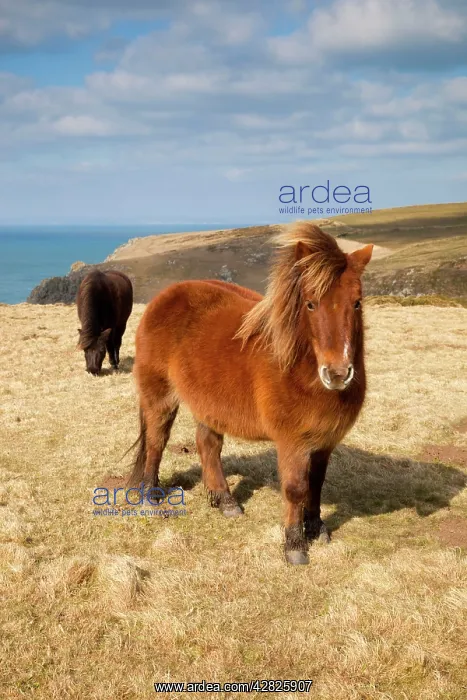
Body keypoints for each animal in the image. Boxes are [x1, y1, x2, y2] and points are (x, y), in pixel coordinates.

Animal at [128, 222, 373, 564]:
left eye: (357, 302)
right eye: (310, 303)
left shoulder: (325, 442)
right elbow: (296, 488)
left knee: (207, 446)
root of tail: (165, 297)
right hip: (160, 397)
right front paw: (294, 545)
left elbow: (317, 483)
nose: (337, 373)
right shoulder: (293, 443)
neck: (299, 369)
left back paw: (225, 501)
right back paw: (151, 497)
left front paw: (316, 527)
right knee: (156, 442)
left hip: (208, 404)